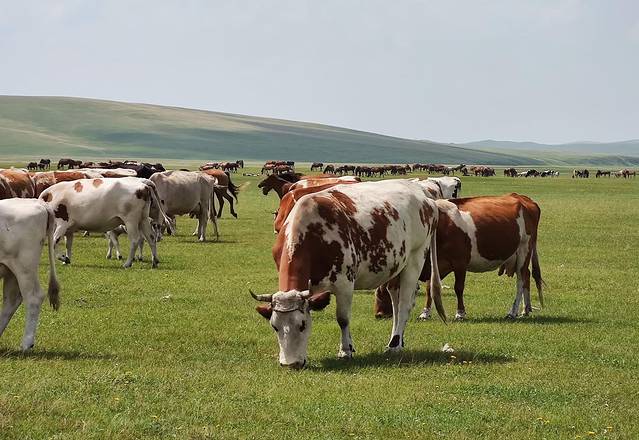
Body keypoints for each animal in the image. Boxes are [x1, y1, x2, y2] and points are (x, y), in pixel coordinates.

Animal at [0, 199, 60, 351]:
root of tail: (37, 202)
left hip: (25, 267)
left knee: (33, 297)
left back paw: (26, 343)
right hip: (11, 270)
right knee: (11, 301)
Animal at [39, 177, 170, 268]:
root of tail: (143, 184)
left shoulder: (62, 224)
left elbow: (54, 242)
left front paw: (62, 258)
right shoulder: (69, 229)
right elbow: (68, 245)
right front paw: (66, 259)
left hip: (131, 220)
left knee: (135, 240)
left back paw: (128, 263)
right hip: (143, 219)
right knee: (151, 238)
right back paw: (154, 262)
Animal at [251, 179, 445, 368]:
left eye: (302, 325)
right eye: (275, 326)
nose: (290, 364)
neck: (312, 233)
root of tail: (423, 194)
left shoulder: (345, 283)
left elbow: (343, 319)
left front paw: (345, 350)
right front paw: (349, 347)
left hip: (415, 258)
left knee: (405, 305)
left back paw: (394, 346)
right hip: (396, 266)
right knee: (396, 304)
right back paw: (397, 340)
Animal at [374, 193, 544, 321]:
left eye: (383, 291)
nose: (378, 314)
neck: (441, 227)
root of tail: (524, 199)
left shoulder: (460, 263)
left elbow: (458, 288)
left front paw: (460, 313)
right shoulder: (435, 264)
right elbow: (430, 288)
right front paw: (425, 313)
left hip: (524, 250)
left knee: (521, 280)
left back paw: (513, 311)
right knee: (527, 276)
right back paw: (526, 309)